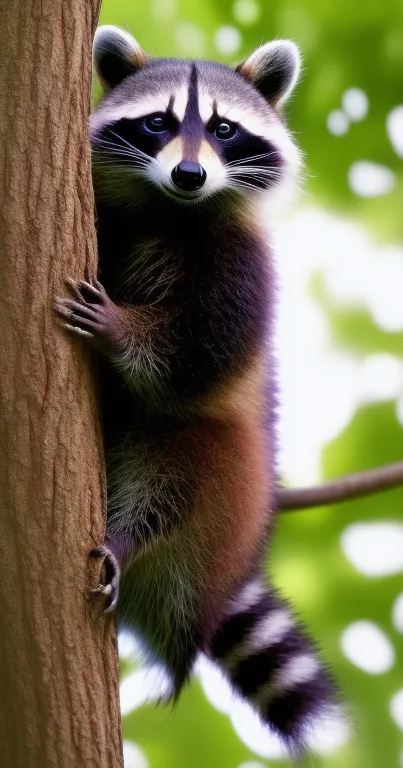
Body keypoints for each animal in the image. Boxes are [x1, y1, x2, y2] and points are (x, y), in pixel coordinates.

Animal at [54, 27, 338, 760]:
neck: (170, 209)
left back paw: (128, 536)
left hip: (222, 469)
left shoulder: (239, 271)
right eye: (157, 123)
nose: (190, 175)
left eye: (223, 129)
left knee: (171, 472)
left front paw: (122, 332)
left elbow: (190, 360)